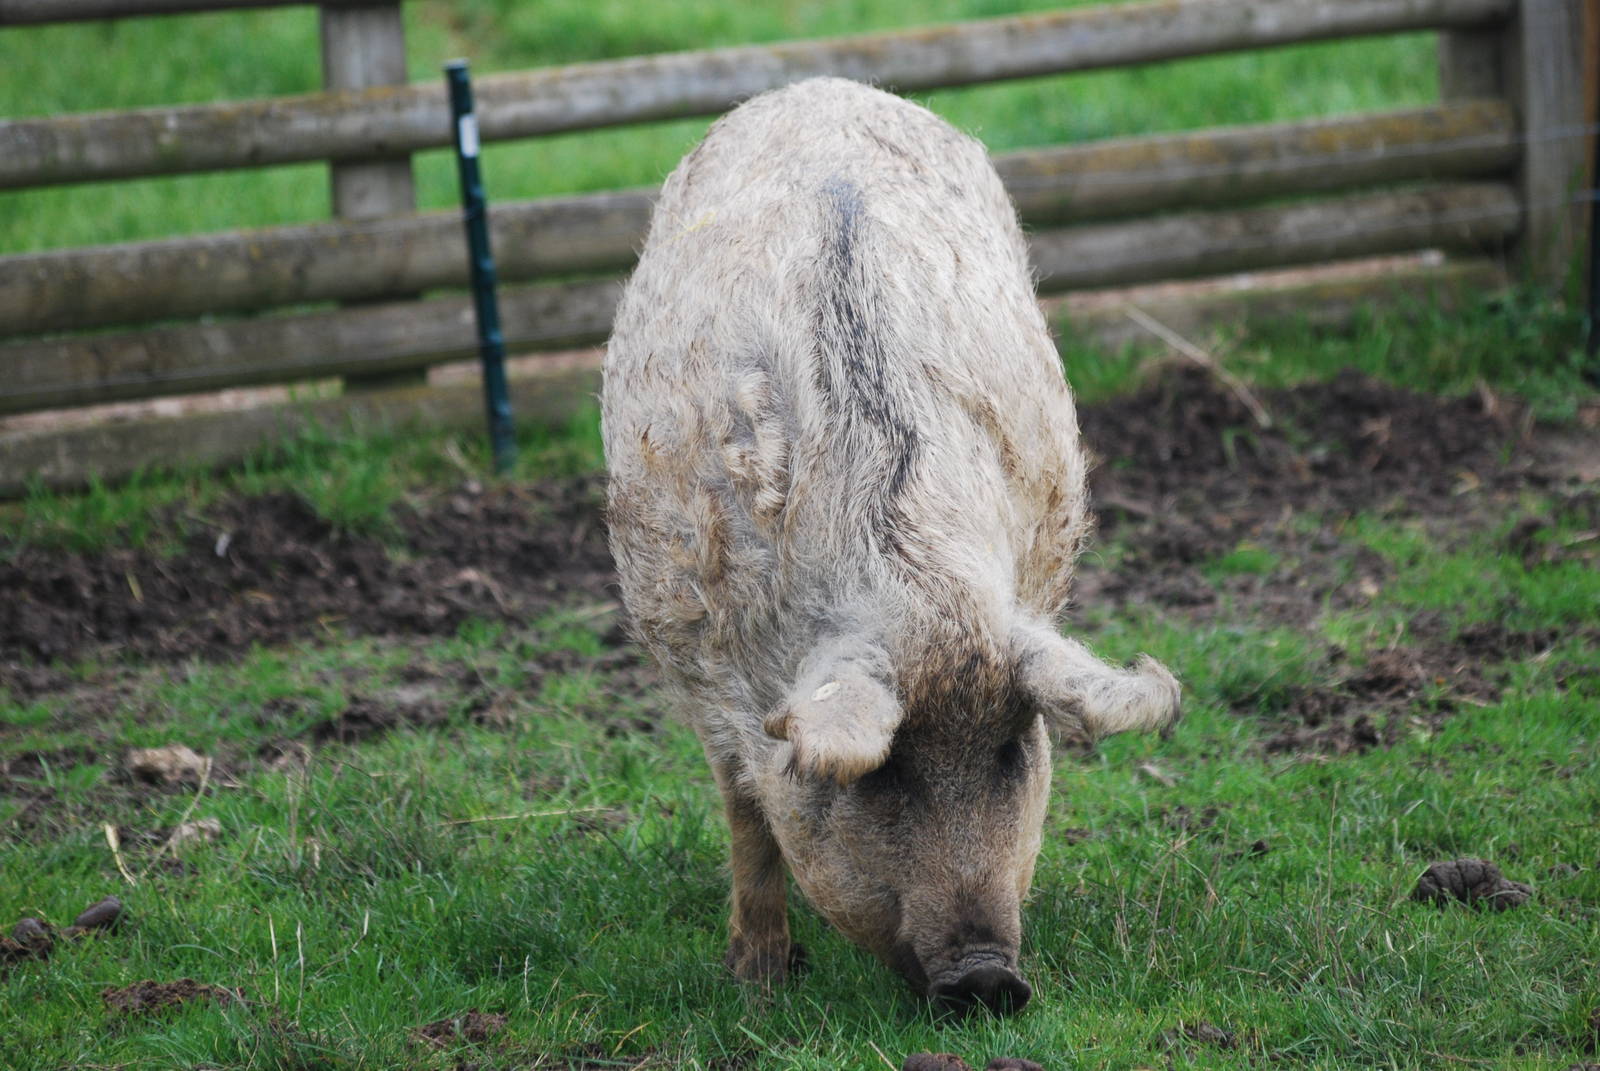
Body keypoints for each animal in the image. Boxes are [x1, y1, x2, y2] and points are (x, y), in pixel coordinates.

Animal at [601, 77, 1180, 1016]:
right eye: (884, 772)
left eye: (1012, 750)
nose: (988, 975)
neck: (921, 586)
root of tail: (819, 84)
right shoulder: (700, 661)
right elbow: (745, 811)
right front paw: (759, 983)